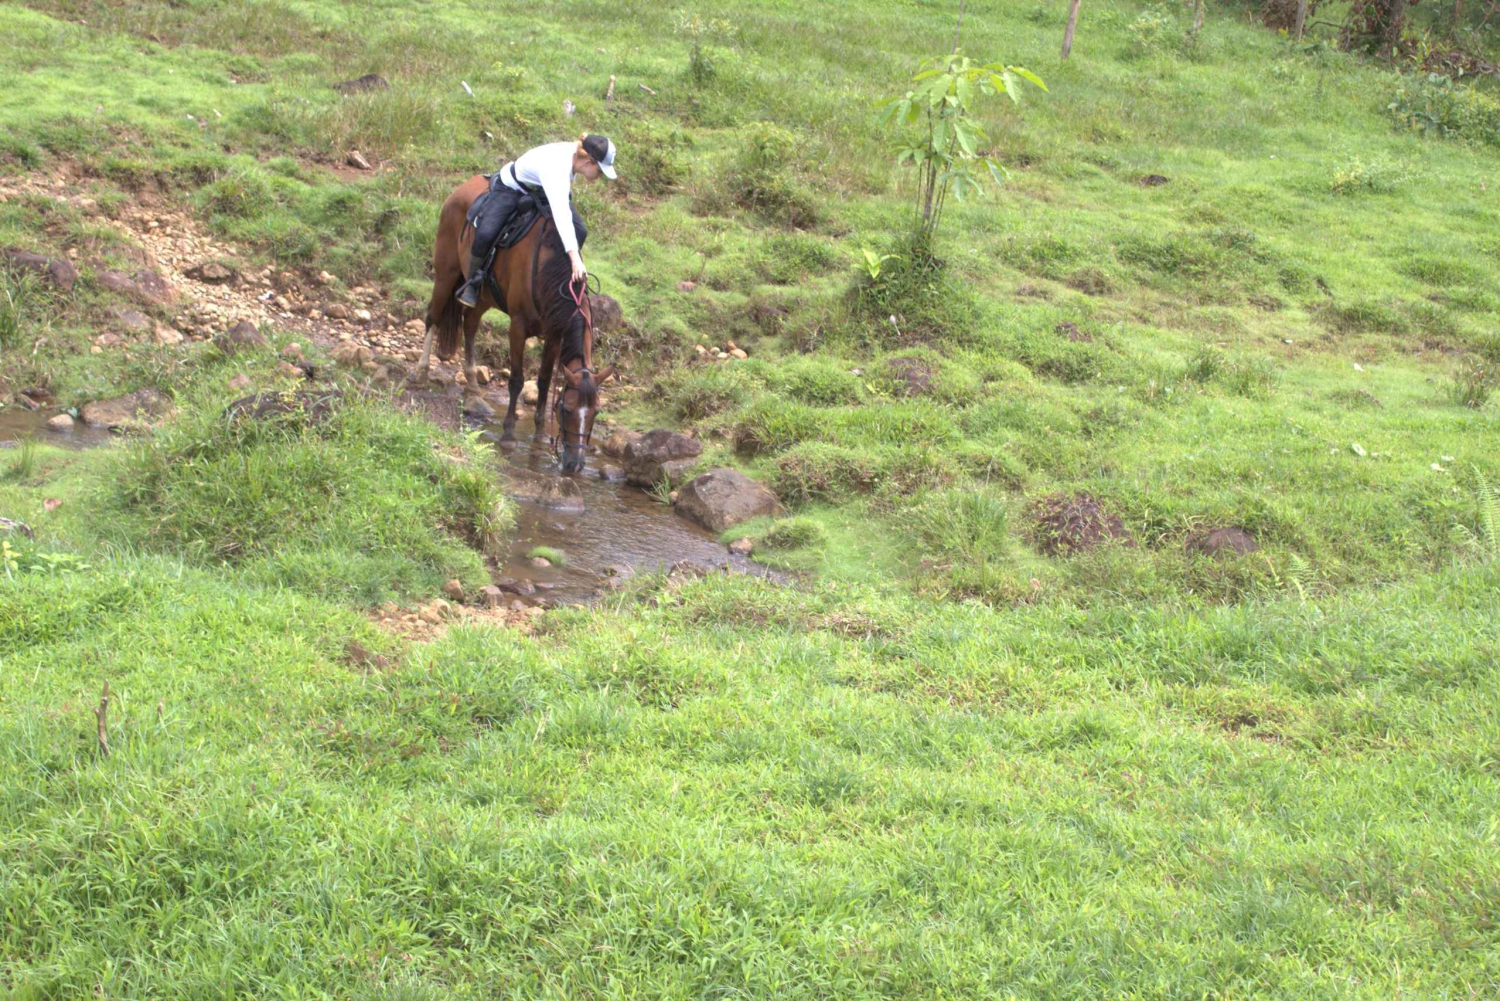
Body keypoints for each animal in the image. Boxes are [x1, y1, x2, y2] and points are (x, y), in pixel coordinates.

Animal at [413, 175, 614, 474]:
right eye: (566, 409)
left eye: (596, 412)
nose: (574, 464)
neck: (547, 269)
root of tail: (465, 185)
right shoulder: (517, 328)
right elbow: (517, 380)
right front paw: (508, 434)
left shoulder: (554, 335)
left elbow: (543, 381)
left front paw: (540, 434)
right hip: (446, 273)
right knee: (433, 317)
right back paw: (422, 370)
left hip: (483, 295)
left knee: (469, 324)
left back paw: (473, 386)